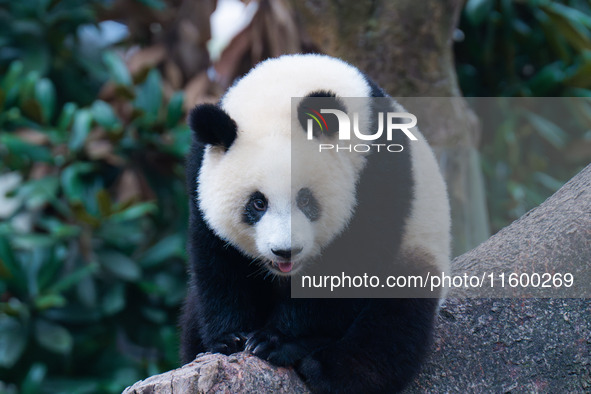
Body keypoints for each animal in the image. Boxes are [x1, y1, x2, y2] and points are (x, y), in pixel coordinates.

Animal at [183, 53, 450, 392]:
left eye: (306, 200)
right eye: (258, 203)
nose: (285, 251)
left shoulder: (377, 172)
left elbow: (349, 265)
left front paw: (277, 340)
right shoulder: (199, 174)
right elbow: (218, 261)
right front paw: (230, 338)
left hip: (417, 250)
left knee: (392, 326)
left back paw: (325, 369)